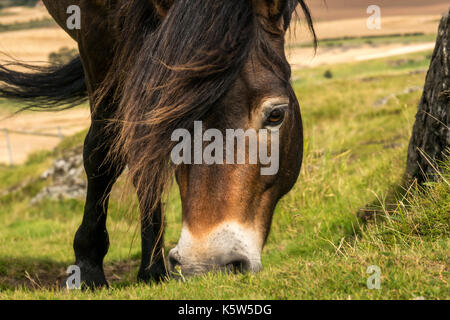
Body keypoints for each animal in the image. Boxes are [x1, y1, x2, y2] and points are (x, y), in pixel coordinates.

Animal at [0, 0, 316, 288]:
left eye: (276, 115)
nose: (208, 264)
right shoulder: (94, 32)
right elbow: (104, 150)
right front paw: (88, 268)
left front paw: (151, 269)